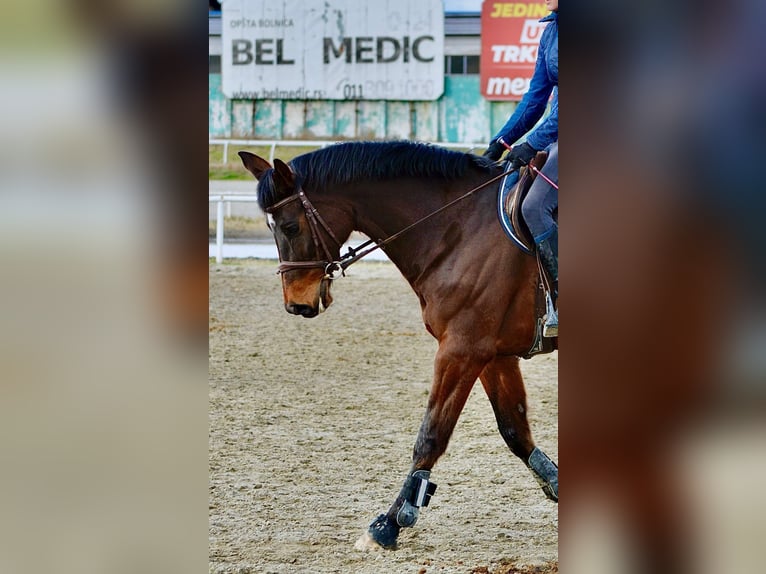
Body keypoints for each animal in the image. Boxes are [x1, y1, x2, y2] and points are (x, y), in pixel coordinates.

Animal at [238, 141, 558, 551]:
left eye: (291, 226)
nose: (296, 304)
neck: (458, 228)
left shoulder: (461, 350)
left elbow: (430, 436)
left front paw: (389, 522)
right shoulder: (492, 355)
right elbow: (514, 429)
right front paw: (556, 483)